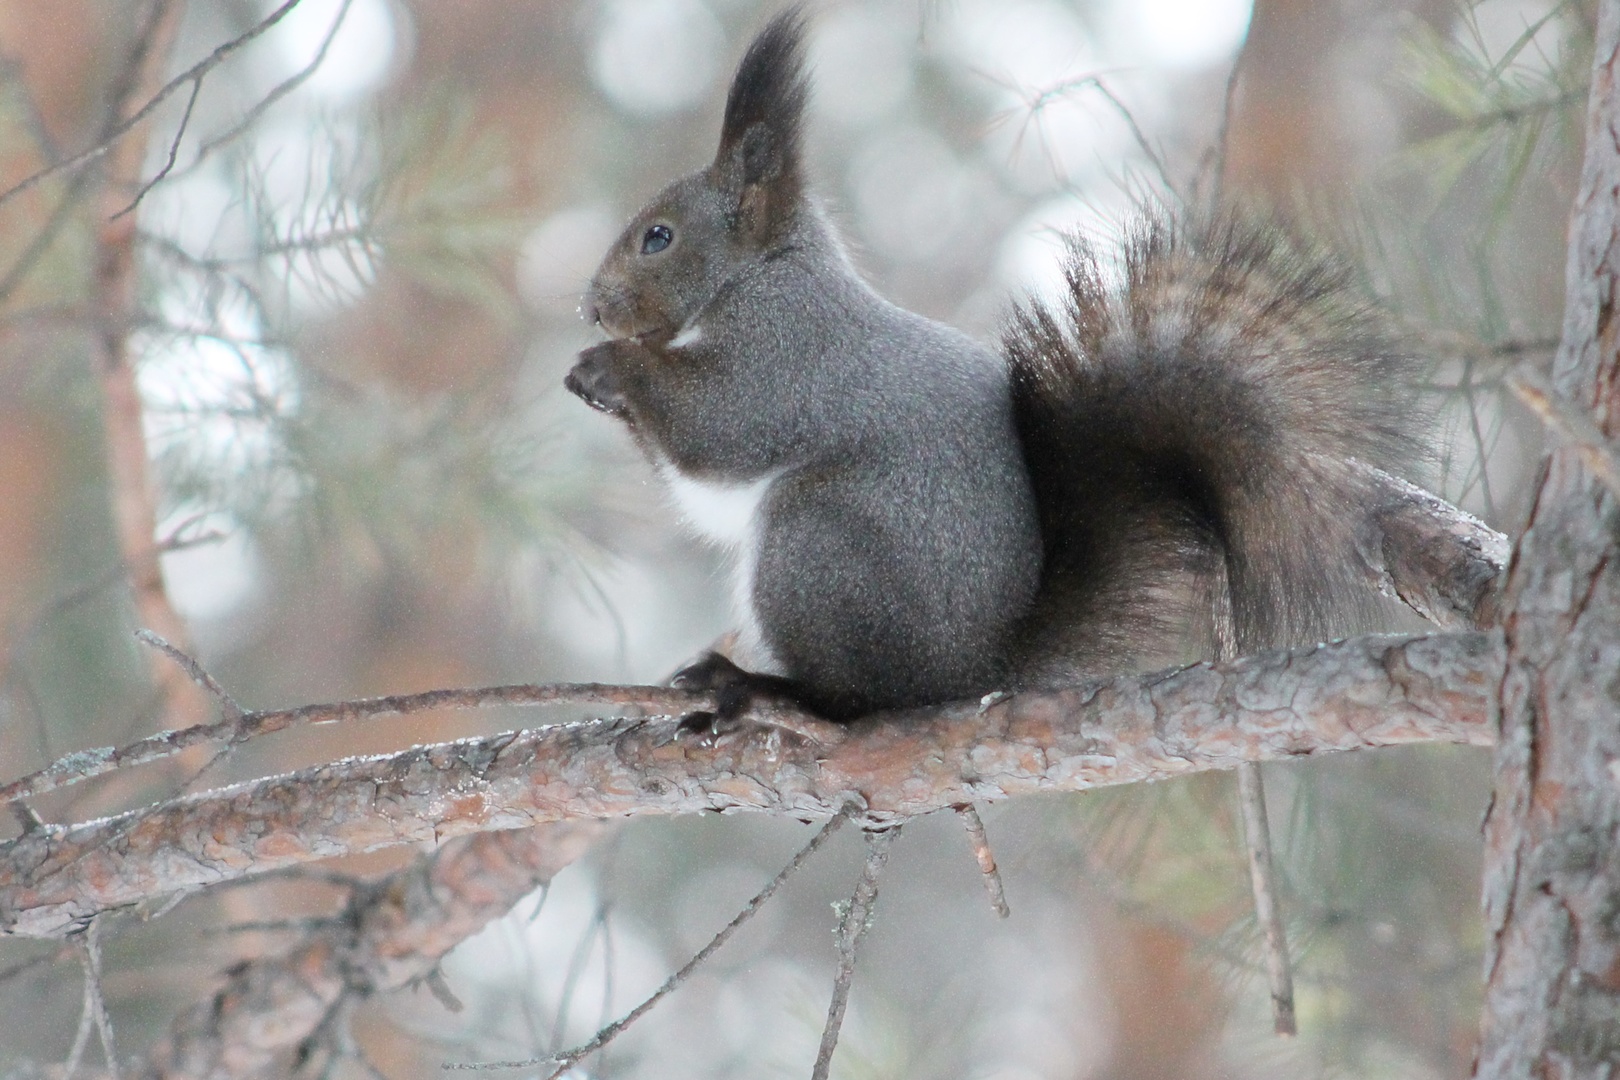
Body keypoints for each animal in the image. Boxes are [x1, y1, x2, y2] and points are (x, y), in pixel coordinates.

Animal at [563, 8, 1425, 725]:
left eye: (658, 238)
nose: (592, 306)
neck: (759, 274)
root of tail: (969, 669)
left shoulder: (785, 350)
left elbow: (720, 428)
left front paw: (611, 367)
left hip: (817, 542)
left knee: (856, 700)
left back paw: (761, 688)